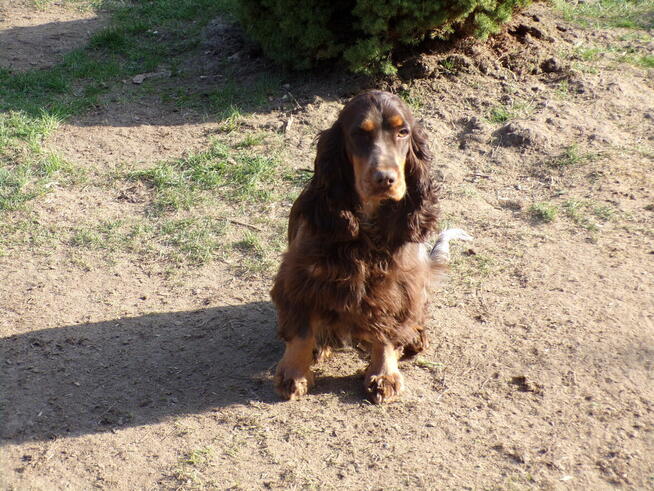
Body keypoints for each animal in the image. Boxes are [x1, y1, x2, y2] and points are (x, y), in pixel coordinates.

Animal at [272, 89, 472, 404]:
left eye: (403, 132)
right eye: (358, 134)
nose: (385, 179)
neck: (366, 222)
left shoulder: (395, 283)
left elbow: (386, 328)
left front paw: (383, 374)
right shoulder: (301, 276)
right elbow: (301, 330)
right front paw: (293, 373)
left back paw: (414, 337)